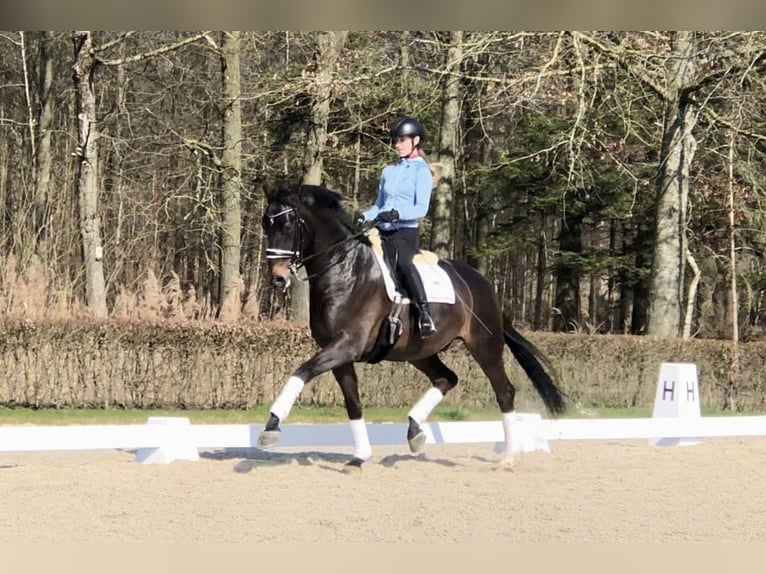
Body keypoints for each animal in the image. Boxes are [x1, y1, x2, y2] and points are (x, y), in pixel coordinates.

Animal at [257, 182, 567, 469]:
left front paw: (271, 427)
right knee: (447, 378)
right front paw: (360, 457)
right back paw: (415, 431)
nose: (277, 279)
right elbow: (353, 402)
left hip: (484, 346)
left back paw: (508, 457)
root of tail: (482, 283)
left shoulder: (347, 345)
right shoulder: (339, 354)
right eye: (265, 223)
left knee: (504, 392)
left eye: (287, 224)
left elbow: (301, 371)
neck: (345, 269)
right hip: (419, 351)